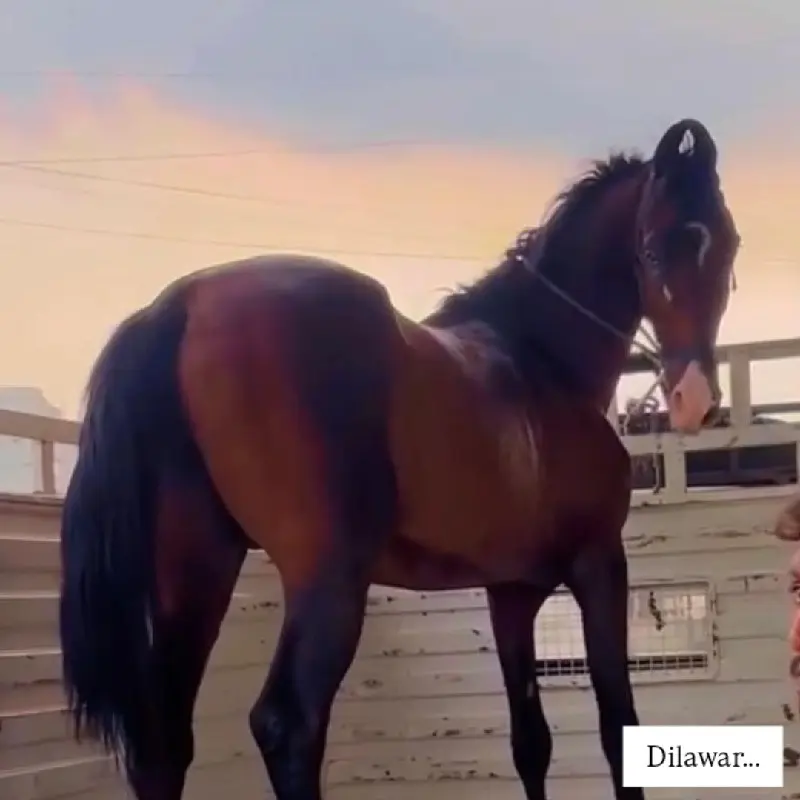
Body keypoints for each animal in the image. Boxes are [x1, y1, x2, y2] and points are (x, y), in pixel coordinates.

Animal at [58, 118, 739, 800]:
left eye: (728, 246)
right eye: (651, 251)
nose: (695, 399)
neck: (539, 360)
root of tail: (183, 305)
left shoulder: (512, 593)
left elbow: (531, 742)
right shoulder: (599, 566)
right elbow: (617, 727)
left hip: (198, 570)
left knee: (164, 744)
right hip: (326, 581)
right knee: (288, 724)